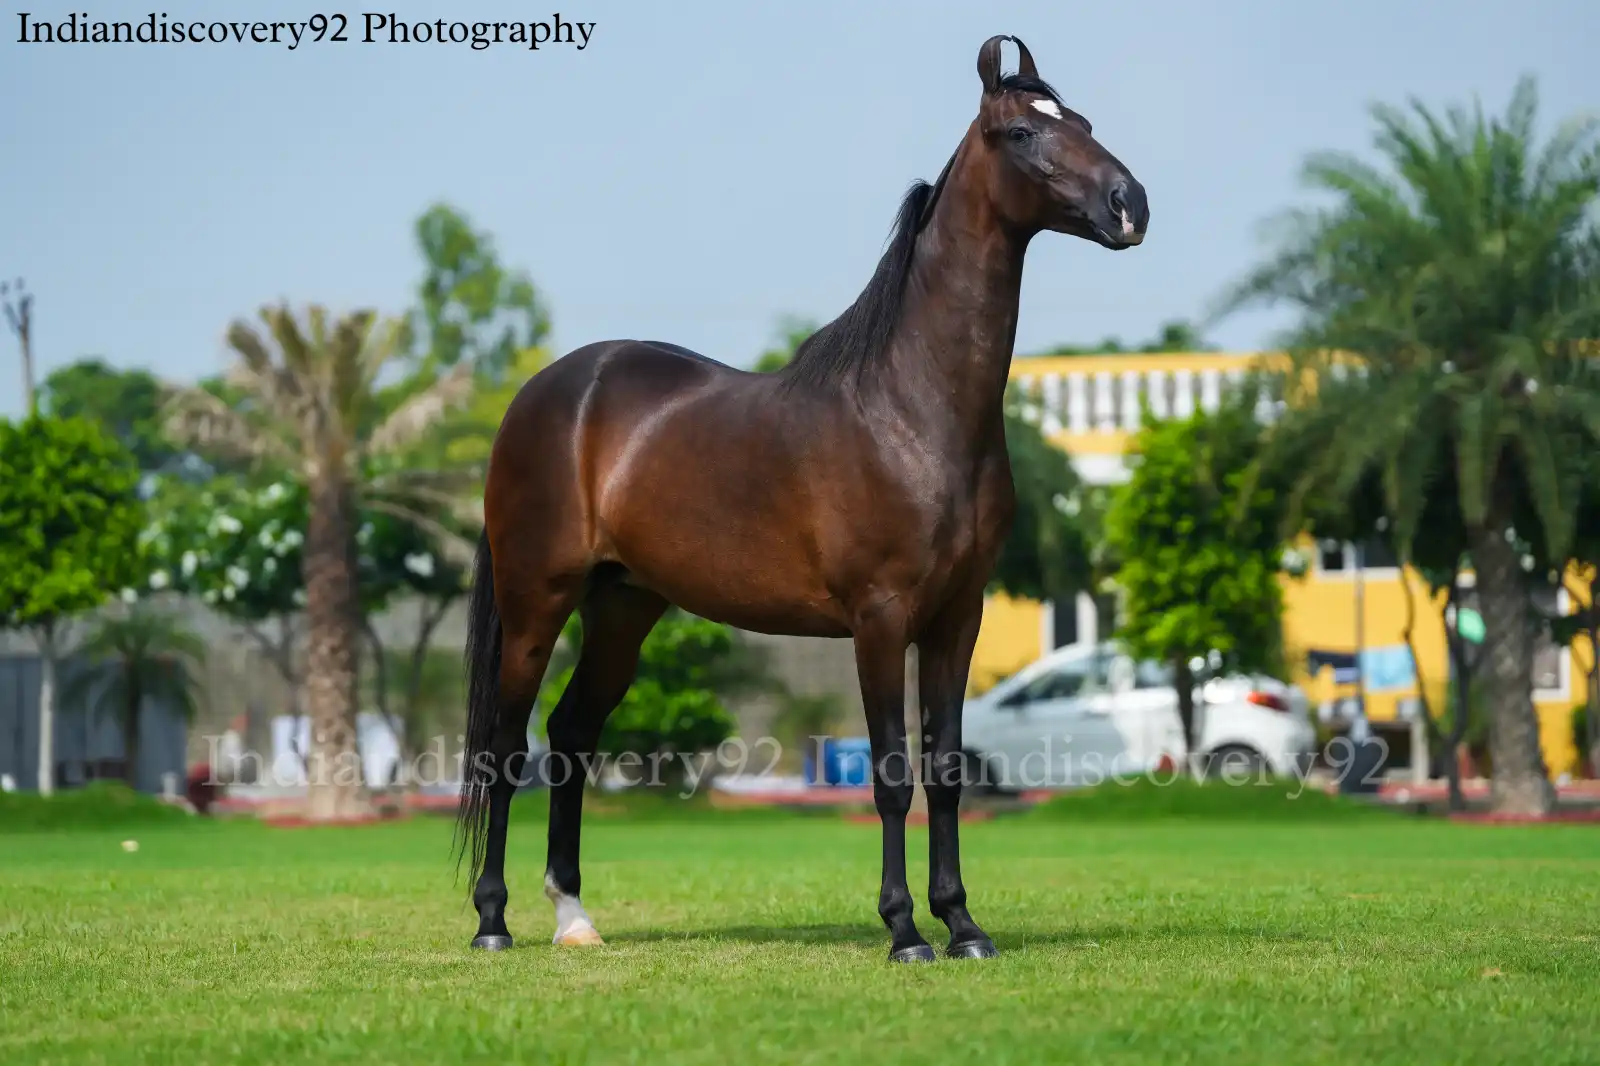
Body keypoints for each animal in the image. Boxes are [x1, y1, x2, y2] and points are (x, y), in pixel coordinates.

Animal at [455, 33, 1149, 964]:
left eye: (1082, 122)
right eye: (1020, 134)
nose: (1129, 204)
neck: (912, 404)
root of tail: (544, 394)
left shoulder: (956, 617)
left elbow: (948, 770)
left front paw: (964, 925)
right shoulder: (879, 618)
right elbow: (891, 774)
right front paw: (905, 931)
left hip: (624, 607)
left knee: (569, 736)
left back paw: (574, 917)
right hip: (539, 600)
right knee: (505, 747)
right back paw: (493, 921)